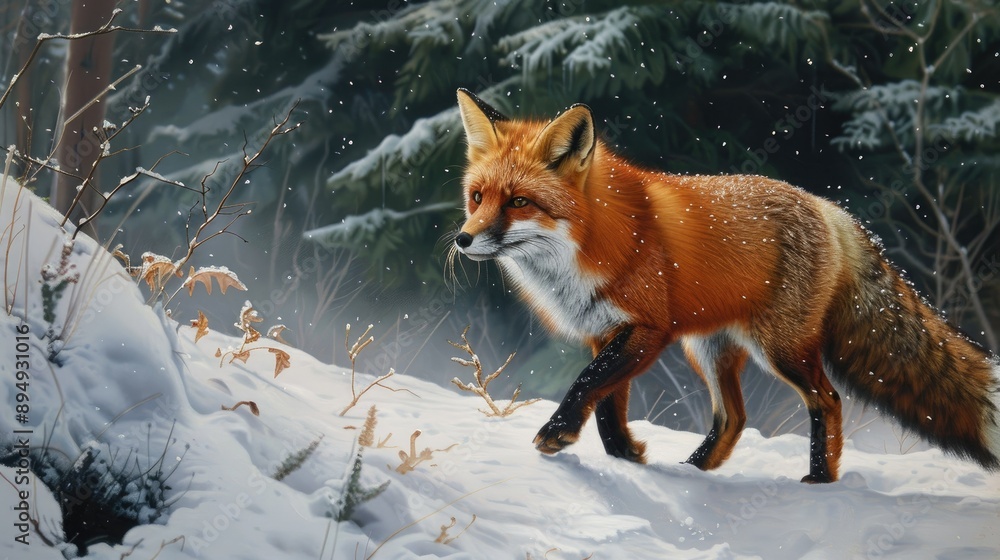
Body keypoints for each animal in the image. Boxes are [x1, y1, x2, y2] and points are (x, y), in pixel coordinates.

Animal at [451, 88, 1000, 483]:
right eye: (477, 197)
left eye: (519, 201)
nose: (463, 239)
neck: (592, 243)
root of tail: (827, 207)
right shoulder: (603, 332)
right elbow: (606, 405)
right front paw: (627, 458)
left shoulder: (647, 330)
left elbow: (586, 384)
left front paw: (558, 435)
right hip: (709, 349)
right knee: (733, 418)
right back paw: (693, 472)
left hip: (780, 349)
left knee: (827, 400)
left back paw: (819, 480)